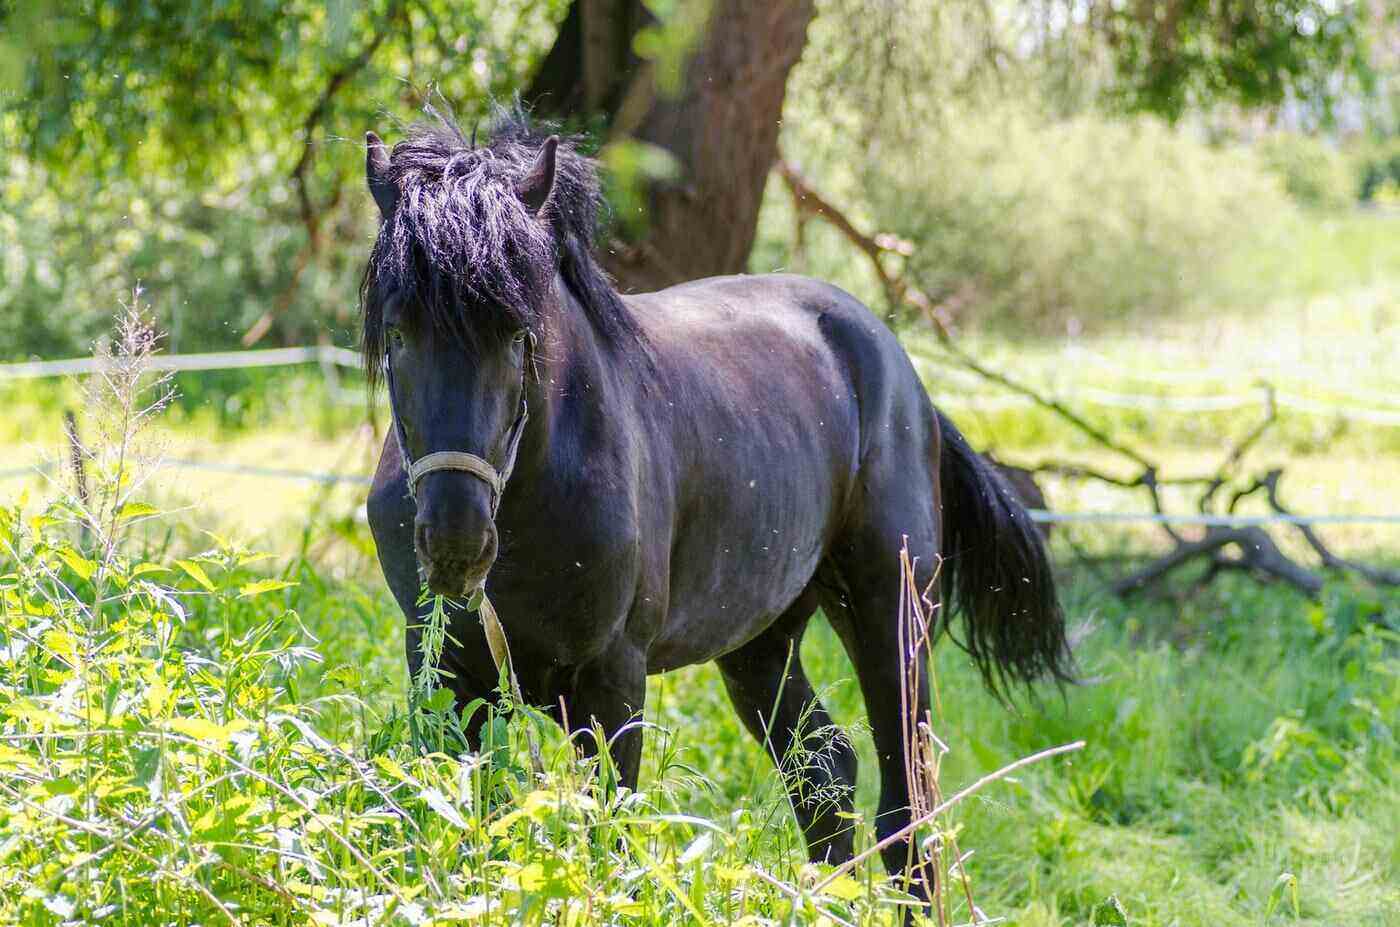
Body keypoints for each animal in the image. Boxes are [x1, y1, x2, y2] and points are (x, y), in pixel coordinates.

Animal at [361, 112, 1069, 896]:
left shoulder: (611, 680)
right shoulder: (448, 672)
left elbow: (607, 837)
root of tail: (905, 378)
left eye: (519, 335)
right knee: (823, 769)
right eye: (397, 332)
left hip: (891, 614)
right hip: (763, 641)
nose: (455, 541)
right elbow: (461, 825)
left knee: (906, 810)